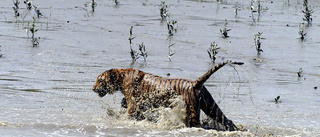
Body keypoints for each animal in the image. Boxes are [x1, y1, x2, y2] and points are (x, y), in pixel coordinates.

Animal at [92, 60, 242, 131]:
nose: (92, 89)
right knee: (227, 120)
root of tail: (195, 83)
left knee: (197, 124)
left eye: (100, 80)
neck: (121, 76)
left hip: (194, 110)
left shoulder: (133, 105)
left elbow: (127, 114)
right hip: (211, 106)